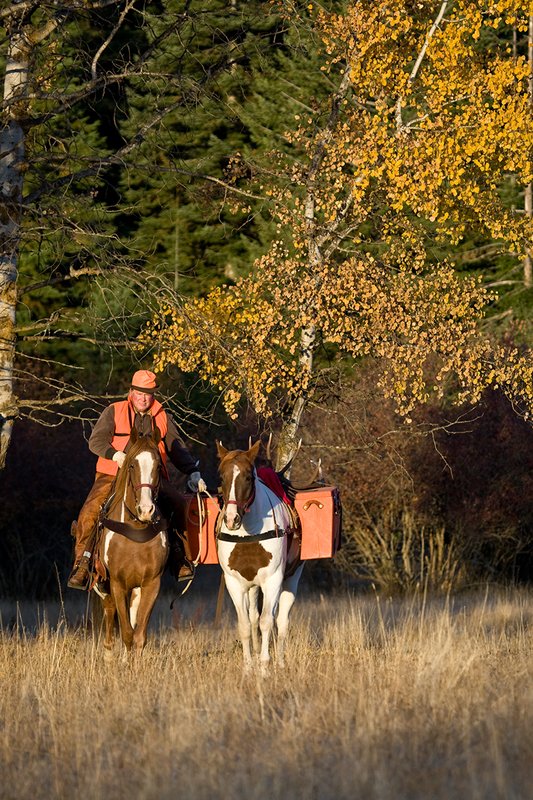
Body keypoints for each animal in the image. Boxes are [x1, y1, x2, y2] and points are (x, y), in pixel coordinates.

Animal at [94, 426, 168, 658]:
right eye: (132, 464)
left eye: (158, 465)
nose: (146, 510)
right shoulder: (118, 584)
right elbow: (126, 633)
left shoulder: (152, 584)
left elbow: (139, 635)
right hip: (105, 586)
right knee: (110, 615)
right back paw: (109, 656)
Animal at [216, 440, 304, 672]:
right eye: (222, 476)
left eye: (248, 477)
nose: (231, 519)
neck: (250, 532)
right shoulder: (235, 583)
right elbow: (246, 625)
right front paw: (249, 667)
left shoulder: (273, 580)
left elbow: (267, 622)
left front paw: (265, 667)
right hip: (253, 586)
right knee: (254, 617)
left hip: (292, 578)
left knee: (281, 621)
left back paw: (280, 662)